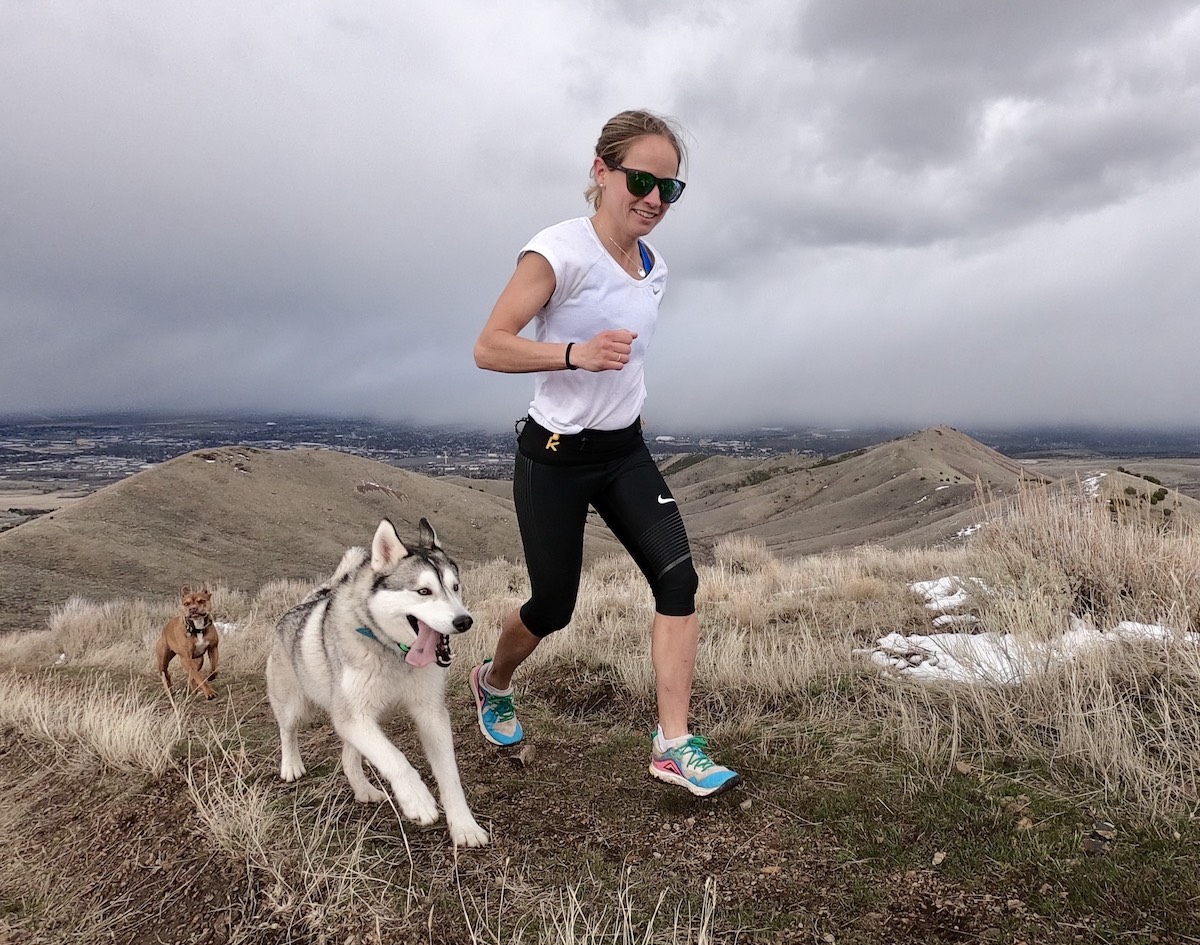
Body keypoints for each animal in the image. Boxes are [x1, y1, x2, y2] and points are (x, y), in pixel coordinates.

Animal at [267, 515, 487, 849]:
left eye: (455, 587)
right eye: (423, 591)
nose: (464, 621)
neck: (394, 652)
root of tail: (301, 604)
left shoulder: (430, 712)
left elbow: (449, 774)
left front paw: (464, 825)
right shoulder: (353, 715)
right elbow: (394, 757)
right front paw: (417, 800)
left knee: (349, 756)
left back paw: (363, 790)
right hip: (295, 704)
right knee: (287, 731)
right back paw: (291, 765)